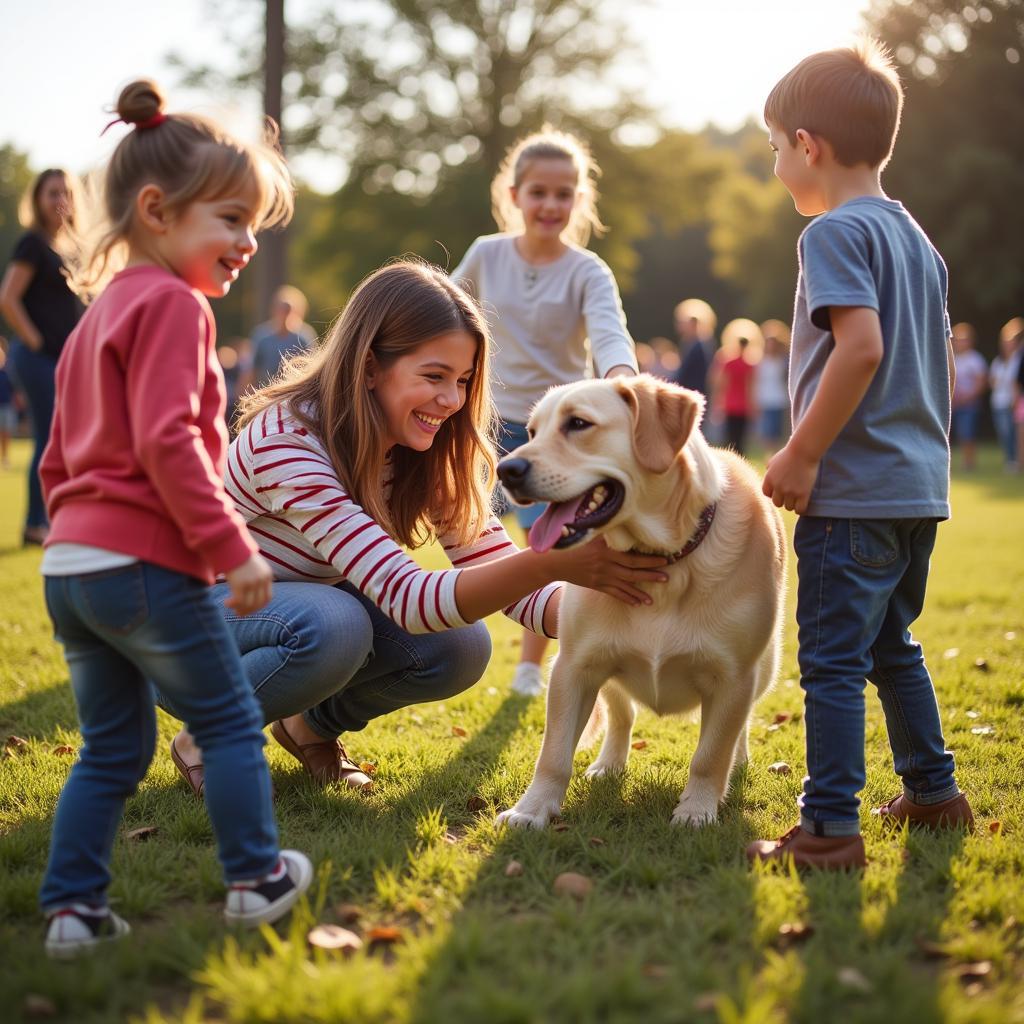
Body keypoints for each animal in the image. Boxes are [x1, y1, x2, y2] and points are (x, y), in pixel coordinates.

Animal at [493, 372, 782, 827]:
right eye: (533, 431)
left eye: (578, 424)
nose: (506, 469)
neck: (663, 561)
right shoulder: (573, 666)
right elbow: (553, 753)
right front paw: (532, 809)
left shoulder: (734, 677)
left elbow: (710, 755)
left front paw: (697, 809)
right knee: (622, 715)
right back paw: (608, 764)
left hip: (765, 669)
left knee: (740, 728)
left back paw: (737, 763)